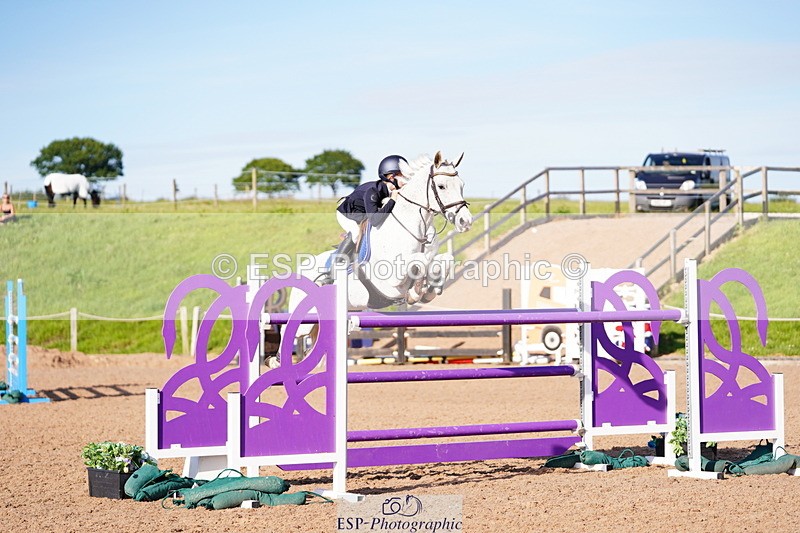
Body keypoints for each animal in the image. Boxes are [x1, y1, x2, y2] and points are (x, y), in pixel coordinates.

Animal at [280, 151, 473, 362]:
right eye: (441, 186)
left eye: (462, 185)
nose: (466, 221)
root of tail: (302, 266)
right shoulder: (391, 277)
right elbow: (419, 262)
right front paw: (416, 292)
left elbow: (444, 260)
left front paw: (429, 290)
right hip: (304, 320)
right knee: (287, 332)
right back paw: (275, 360)